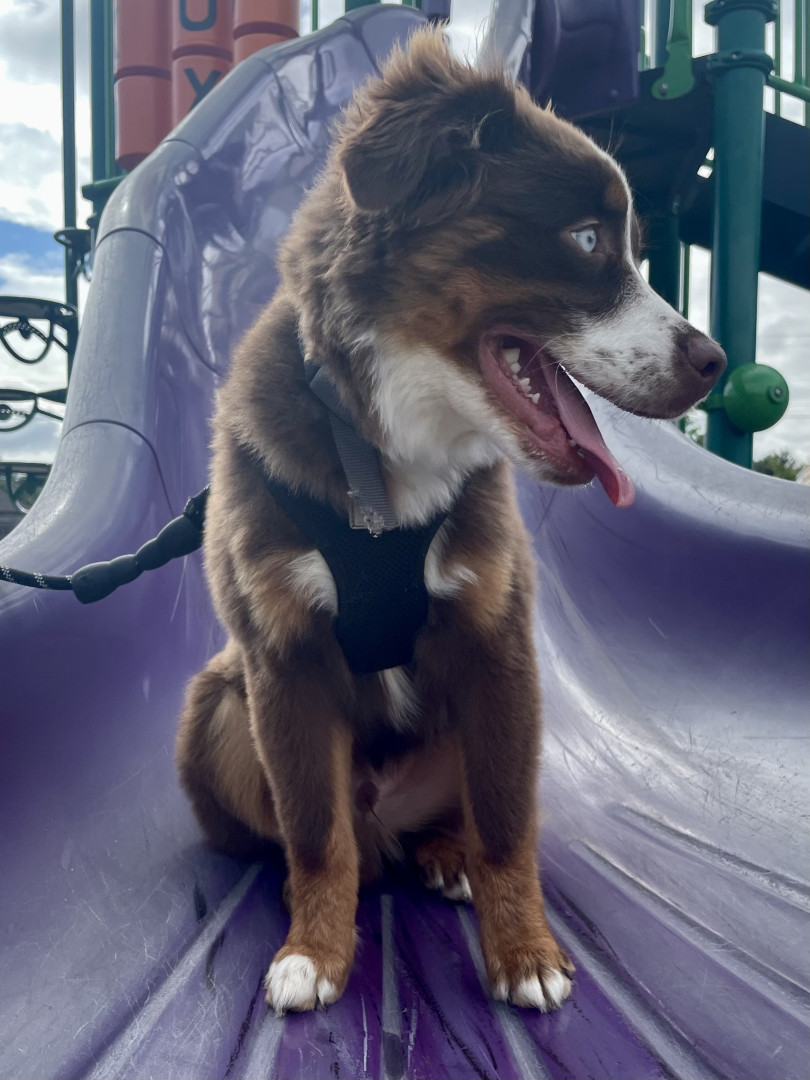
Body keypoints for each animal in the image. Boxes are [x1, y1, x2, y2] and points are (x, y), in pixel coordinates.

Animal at [176, 28, 726, 1015]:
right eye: (586, 239)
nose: (717, 361)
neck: (389, 451)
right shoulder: (282, 660)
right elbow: (315, 834)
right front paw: (315, 950)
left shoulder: (496, 645)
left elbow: (507, 826)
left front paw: (525, 954)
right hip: (217, 706)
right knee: (330, 835)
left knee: (460, 819)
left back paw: (443, 857)